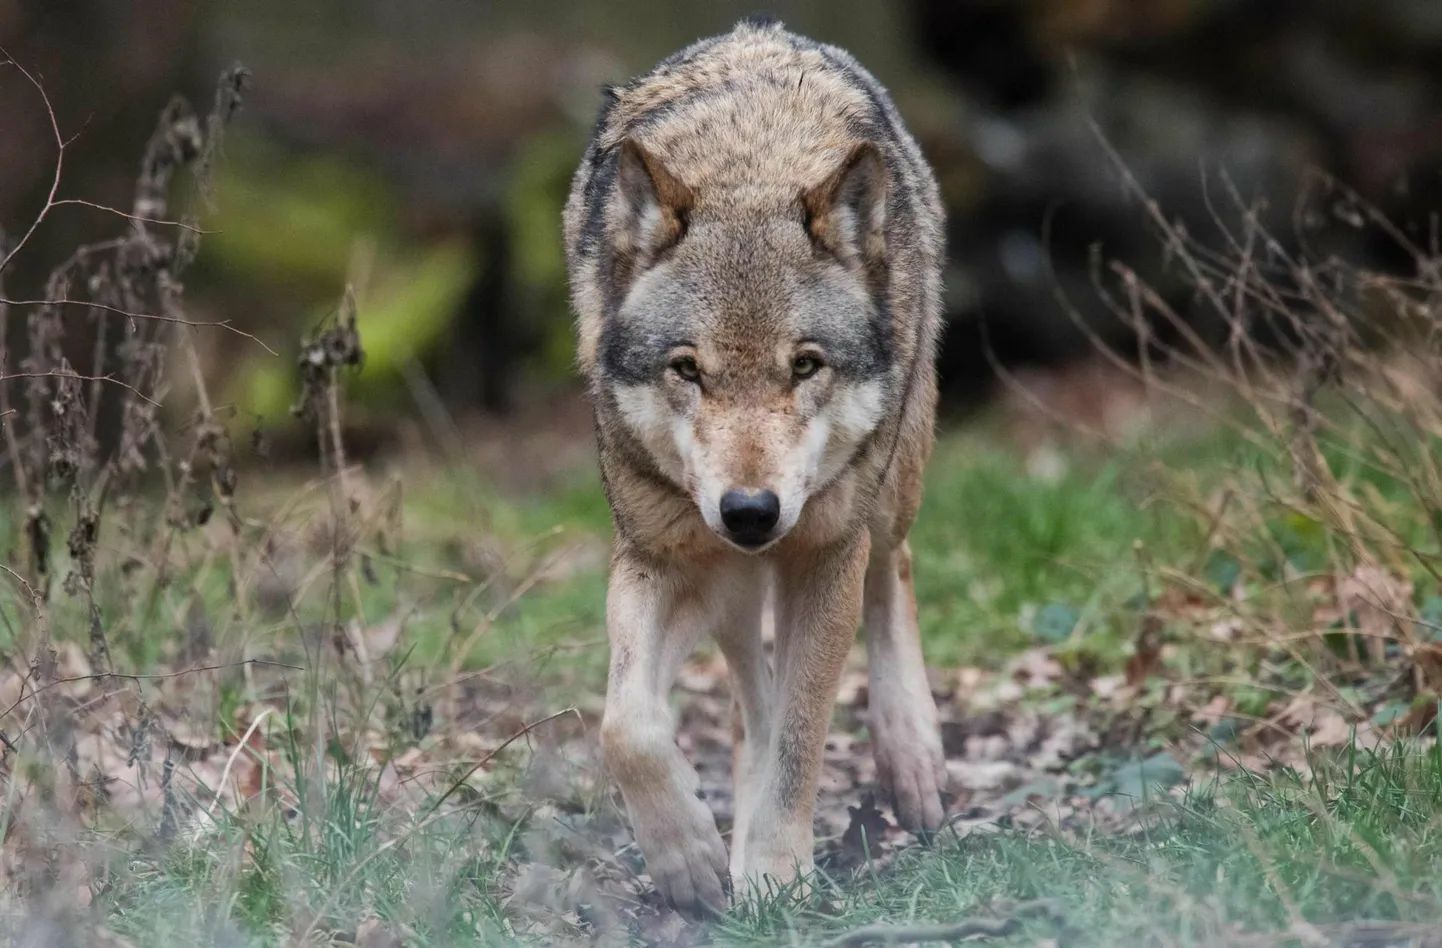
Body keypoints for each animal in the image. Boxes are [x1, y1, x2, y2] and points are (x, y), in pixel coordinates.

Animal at [559, 14, 945, 911]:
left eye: (804, 365)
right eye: (687, 370)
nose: (749, 512)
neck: (749, 166)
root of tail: (760, 30)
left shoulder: (826, 555)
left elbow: (804, 737)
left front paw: (772, 871)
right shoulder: (663, 556)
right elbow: (626, 725)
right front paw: (690, 858)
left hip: (887, 490)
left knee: (894, 571)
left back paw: (912, 762)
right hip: (728, 580)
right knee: (747, 689)